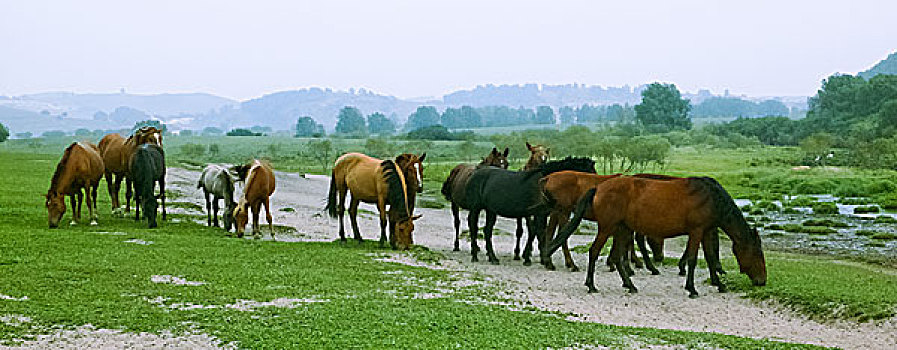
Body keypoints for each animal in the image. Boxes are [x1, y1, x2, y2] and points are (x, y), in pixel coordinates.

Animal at [462, 157, 596, 264]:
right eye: (590, 174)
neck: (546, 181)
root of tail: (474, 174)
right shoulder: (539, 214)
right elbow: (539, 233)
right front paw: (542, 260)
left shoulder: (541, 214)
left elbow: (537, 232)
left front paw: (533, 257)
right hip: (476, 208)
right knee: (473, 227)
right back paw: (475, 255)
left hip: (490, 210)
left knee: (487, 231)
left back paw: (492, 258)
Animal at [544, 176, 768, 296]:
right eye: (758, 254)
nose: (762, 281)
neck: (711, 198)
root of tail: (598, 187)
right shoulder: (696, 231)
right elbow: (693, 259)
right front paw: (692, 289)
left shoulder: (705, 232)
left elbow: (712, 258)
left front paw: (719, 284)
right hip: (607, 228)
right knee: (594, 252)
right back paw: (591, 285)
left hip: (622, 229)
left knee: (616, 257)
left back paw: (630, 285)